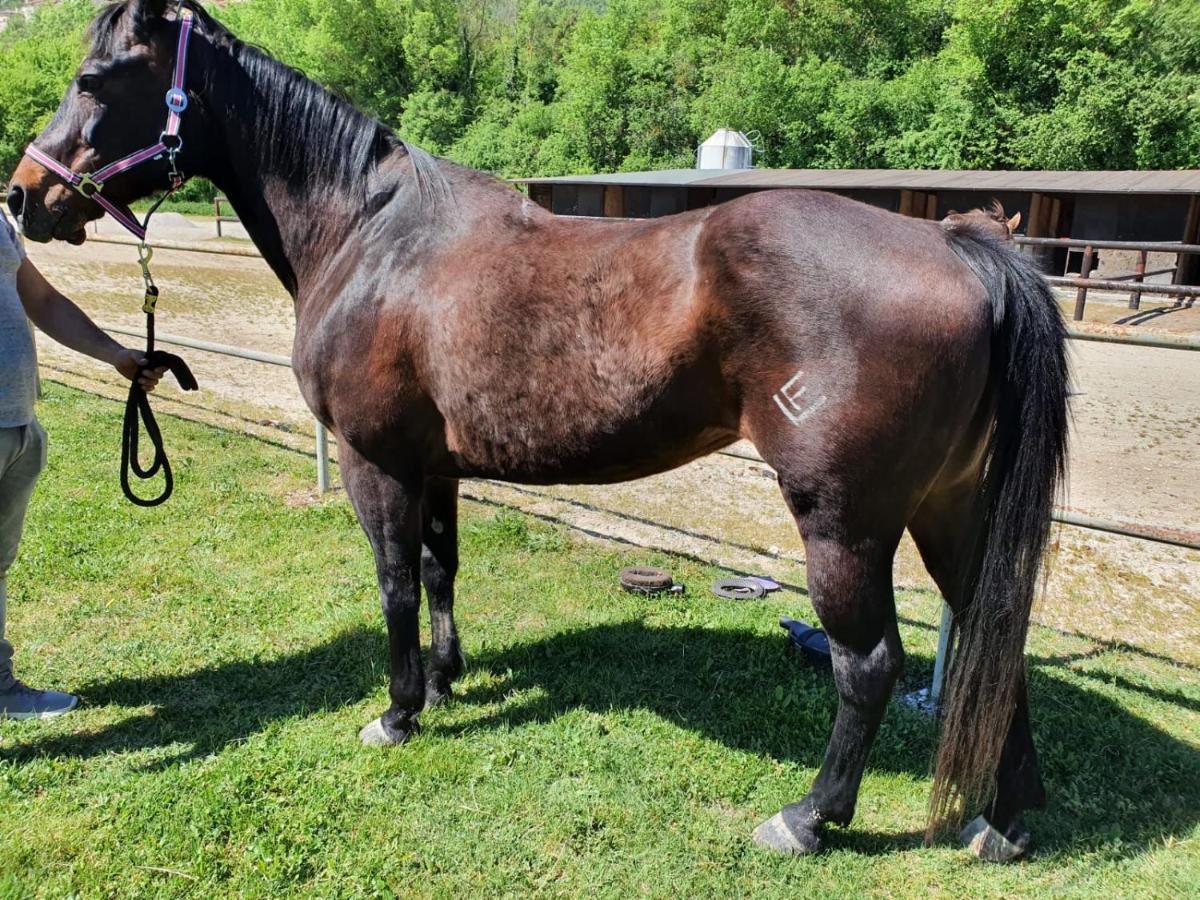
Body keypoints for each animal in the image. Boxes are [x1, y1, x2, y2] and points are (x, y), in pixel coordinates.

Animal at [2, 0, 1070, 859]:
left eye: (97, 79)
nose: (23, 195)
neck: (371, 234)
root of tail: (958, 245)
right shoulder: (433, 465)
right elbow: (439, 570)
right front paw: (445, 681)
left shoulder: (376, 461)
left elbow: (393, 581)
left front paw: (398, 712)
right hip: (948, 510)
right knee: (995, 636)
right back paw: (1005, 822)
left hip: (844, 523)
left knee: (870, 665)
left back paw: (808, 819)